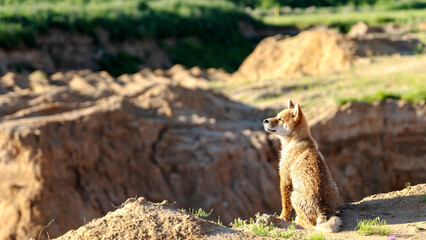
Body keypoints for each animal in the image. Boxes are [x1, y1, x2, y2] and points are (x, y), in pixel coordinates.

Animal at [262, 99, 342, 232]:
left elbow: (285, 206)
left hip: (293, 194)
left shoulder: (285, 179)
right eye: (277, 116)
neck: (296, 142)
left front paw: (281, 217)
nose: (265, 120)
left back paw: (299, 219)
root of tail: (323, 209)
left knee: (310, 222)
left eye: (280, 119)